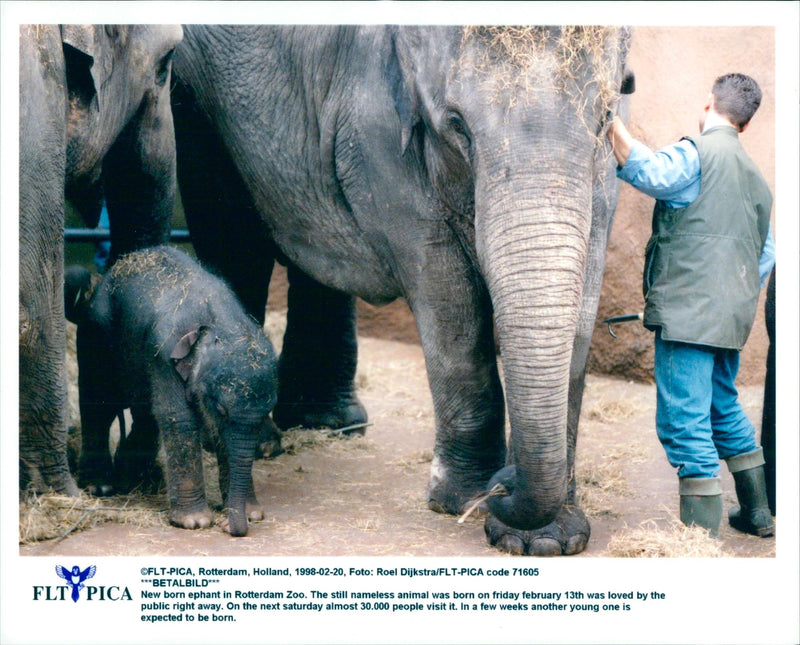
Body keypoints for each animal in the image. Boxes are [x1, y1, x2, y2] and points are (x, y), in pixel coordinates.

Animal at [72, 244, 278, 536]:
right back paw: (100, 486)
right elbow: (180, 418)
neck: (220, 321)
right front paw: (195, 522)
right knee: (98, 405)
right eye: (221, 409)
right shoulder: (164, 351)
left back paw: (137, 479)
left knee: (145, 414)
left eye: (268, 411)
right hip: (95, 332)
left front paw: (252, 514)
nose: (228, 525)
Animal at [172, 26, 636, 552]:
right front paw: (465, 501)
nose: (504, 484)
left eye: (605, 115)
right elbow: (441, 283)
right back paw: (263, 439)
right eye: (457, 125)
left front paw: (546, 539)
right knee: (235, 237)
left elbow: (585, 289)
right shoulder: (374, 119)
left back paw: (335, 424)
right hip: (195, 92)